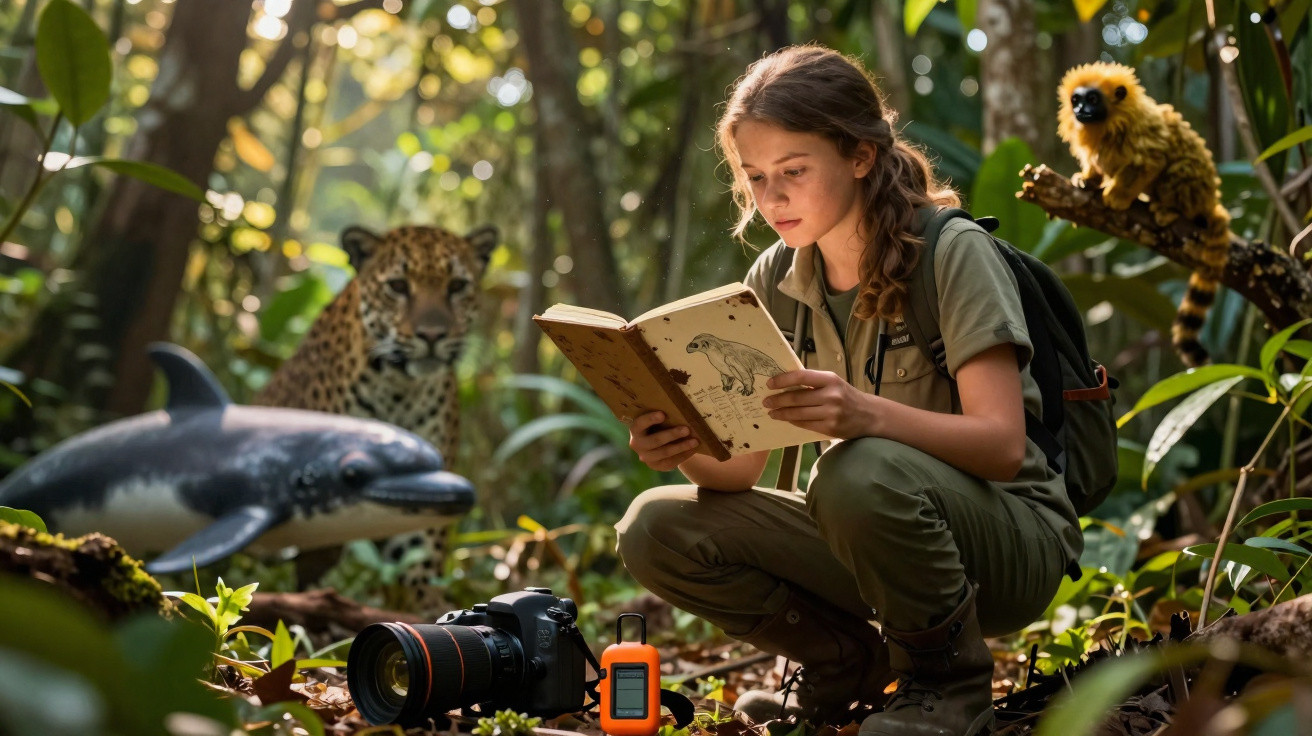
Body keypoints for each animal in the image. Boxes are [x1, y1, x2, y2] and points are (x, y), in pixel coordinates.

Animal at [1057, 61, 1231, 367]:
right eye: (1076, 100)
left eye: (1092, 99)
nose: (1080, 111)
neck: (1108, 122)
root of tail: (1210, 200)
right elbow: (1096, 164)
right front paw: (1088, 179)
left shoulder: (1143, 136)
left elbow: (1151, 161)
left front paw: (1117, 195)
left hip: (1193, 191)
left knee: (1178, 168)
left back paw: (1168, 210)